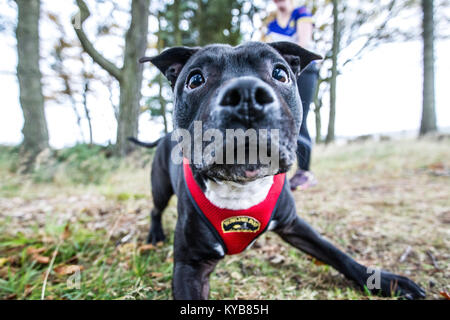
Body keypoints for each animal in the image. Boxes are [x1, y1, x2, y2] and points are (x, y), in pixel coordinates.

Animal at [134, 40, 426, 300]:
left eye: (280, 73)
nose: (247, 94)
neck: (241, 187)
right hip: (160, 186)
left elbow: (335, 252)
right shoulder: (189, 267)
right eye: (195, 79)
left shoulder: (294, 224)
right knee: (155, 208)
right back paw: (155, 234)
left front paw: (384, 280)